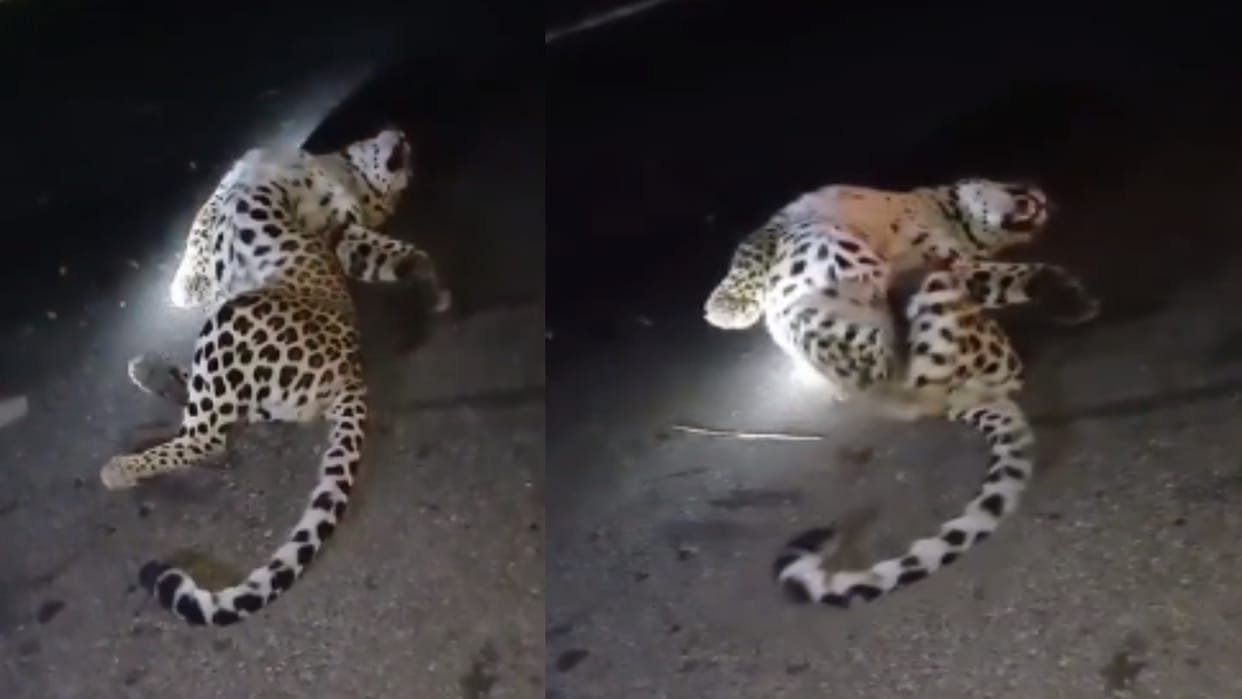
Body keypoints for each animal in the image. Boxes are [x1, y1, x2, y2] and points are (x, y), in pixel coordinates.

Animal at [100, 127, 450, 627]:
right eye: (406, 177)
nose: (409, 147)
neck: (347, 173)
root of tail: (353, 369)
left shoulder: (326, 221)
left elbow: (202, 232)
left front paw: (185, 286)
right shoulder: (329, 222)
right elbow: (382, 252)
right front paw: (427, 280)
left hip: (234, 319)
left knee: (211, 438)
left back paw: (123, 467)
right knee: (224, 410)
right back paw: (150, 372)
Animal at [702, 178, 1100, 607]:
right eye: (1022, 194)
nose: (1045, 206)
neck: (939, 212)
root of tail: (958, 398)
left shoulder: (960, 263)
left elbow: (1011, 274)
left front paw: (1071, 298)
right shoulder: (788, 218)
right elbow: (747, 257)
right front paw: (728, 308)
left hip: (838, 325)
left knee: (899, 358)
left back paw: (912, 296)